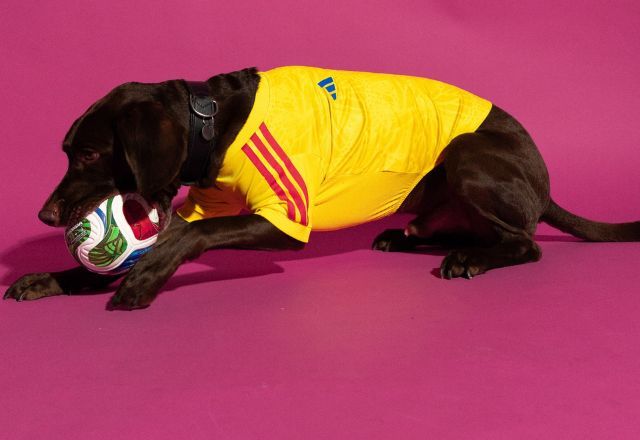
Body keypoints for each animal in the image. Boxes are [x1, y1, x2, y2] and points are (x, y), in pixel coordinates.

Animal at [5, 66, 640, 310]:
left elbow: (186, 238)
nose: (44, 215)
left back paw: (470, 258)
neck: (212, 121)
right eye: (67, 151)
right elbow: (162, 239)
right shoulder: (207, 204)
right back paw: (410, 239)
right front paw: (52, 278)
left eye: (89, 153)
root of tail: (544, 181)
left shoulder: (281, 217)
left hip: (465, 155)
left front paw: (144, 279)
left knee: (524, 241)